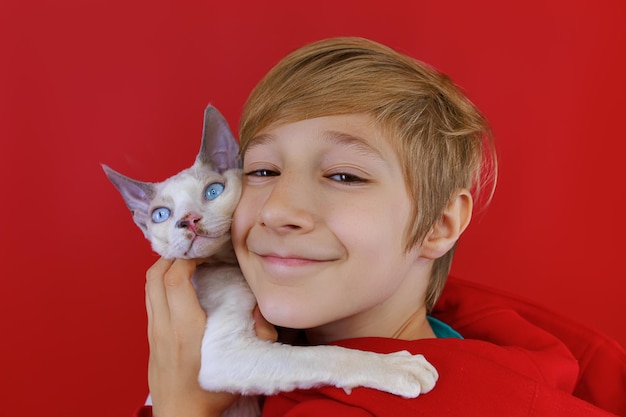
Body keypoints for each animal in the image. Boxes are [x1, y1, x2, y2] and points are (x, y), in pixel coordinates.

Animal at [102, 105, 436, 416]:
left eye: (213, 191)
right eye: (161, 215)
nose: (189, 220)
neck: (227, 263)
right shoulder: (224, 356)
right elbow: (319, 354)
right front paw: (395, 366)